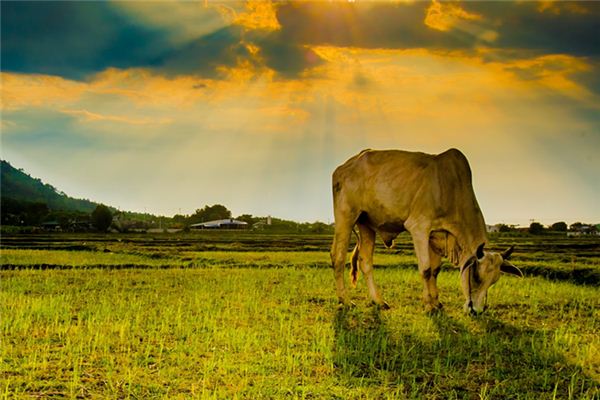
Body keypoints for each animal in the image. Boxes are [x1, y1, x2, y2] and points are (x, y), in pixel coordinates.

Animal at [330, 148, 524, 314]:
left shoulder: (435, 236)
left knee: (365, 261)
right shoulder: (419, 228)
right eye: (476, 276)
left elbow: (435, 271)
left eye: (494, 281)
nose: (476, 311)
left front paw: (436, 302)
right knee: (337, 256)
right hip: (346, 217)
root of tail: (344, 167)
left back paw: (378, 301)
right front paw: (429, 306)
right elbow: (426, 269)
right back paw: (345, 300)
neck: (451, 189)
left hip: (366, 224)